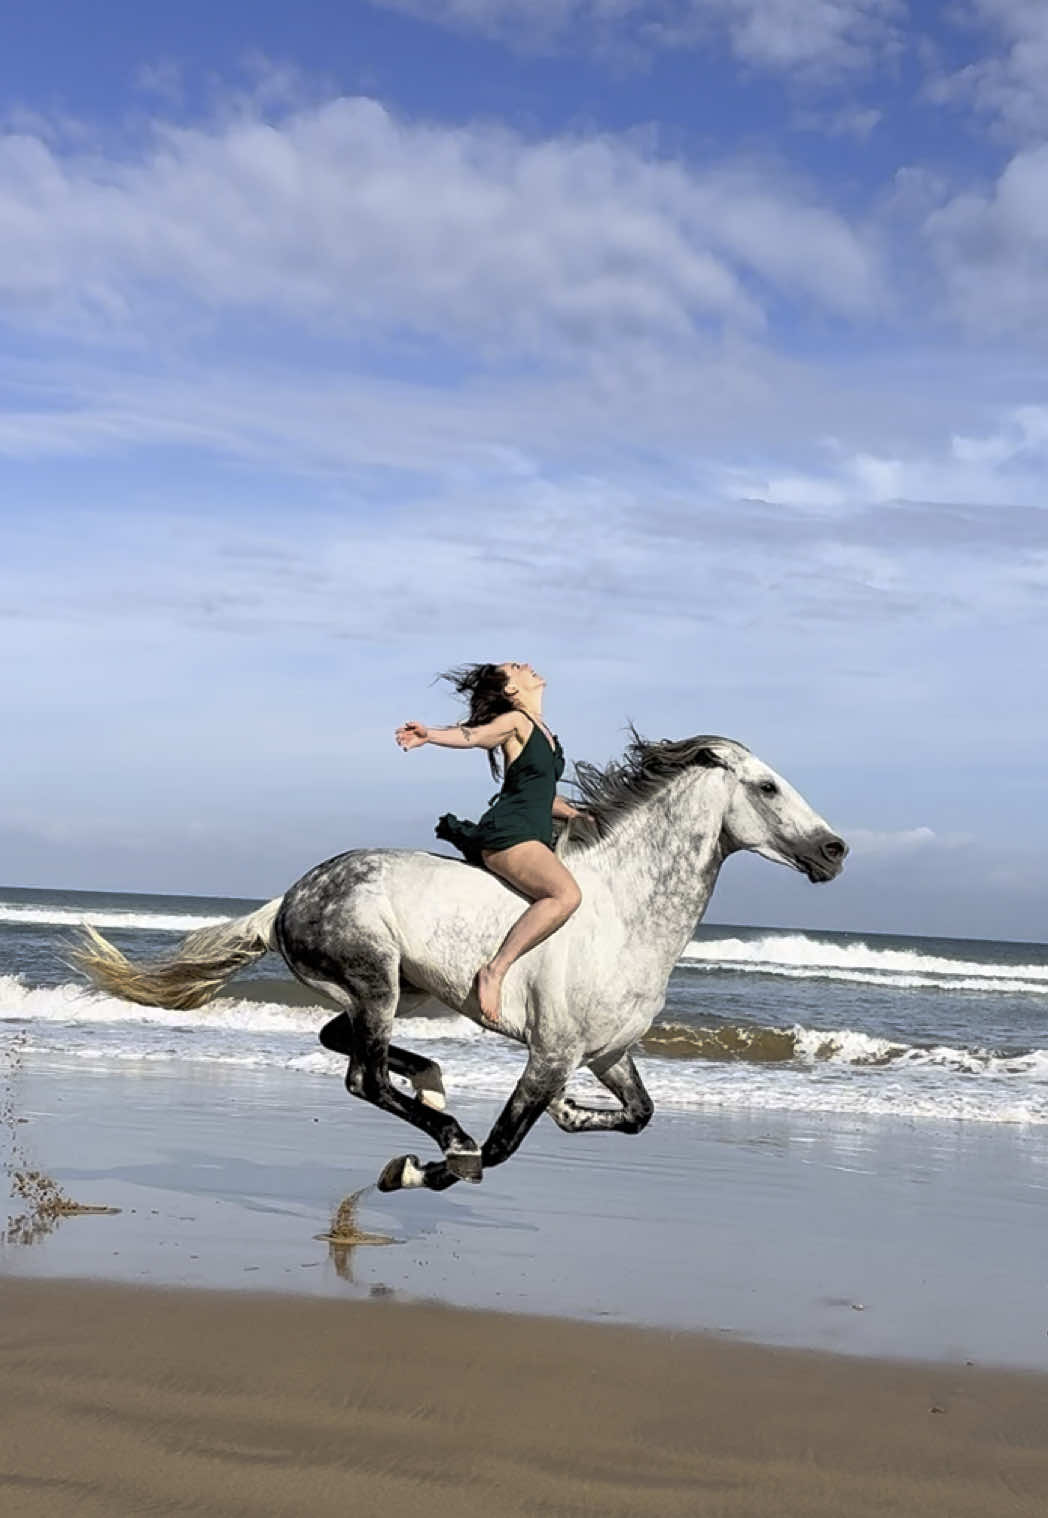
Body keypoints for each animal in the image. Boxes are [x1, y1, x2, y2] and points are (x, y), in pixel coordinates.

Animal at [74, 733, 847, 1193]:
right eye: (769, 787)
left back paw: (433, 1083)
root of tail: (286, 899)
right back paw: (444, 1125)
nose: (835, 850)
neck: (623, 914)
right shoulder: (552, 1052)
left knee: (344, 1042)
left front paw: (571, 1114)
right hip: (375, 978)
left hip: (397, 991)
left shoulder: (607, 1053)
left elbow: (639, 1115)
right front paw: (420, 1169)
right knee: (363, 1075)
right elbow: (501, 1147)